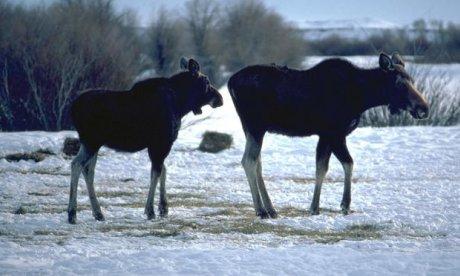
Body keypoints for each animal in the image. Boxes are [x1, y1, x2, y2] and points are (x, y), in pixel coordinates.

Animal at [68, 57, 223, 223]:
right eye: (206, 81)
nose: (220, 99)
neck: (181, 105)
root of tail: (73, 108)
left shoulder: (158, 145)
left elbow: (163, 170)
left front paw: (163, 208)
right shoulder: (161, 143)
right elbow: (156, 173)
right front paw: (151, 210)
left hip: (91, 143)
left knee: (88, 170)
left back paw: (98, 213)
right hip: (92, 141)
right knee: (76, 165)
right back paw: (72, 213)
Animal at [228, 52, 430, 219]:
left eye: (412, 80)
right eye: (399, 83)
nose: (424, 108)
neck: (362, 97)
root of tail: (230, 82)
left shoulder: (331, 135)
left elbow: (330, 167)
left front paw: (325, 206)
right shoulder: (333, 133)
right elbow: (339, 165)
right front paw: (337, 205)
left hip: (252, 128)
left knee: (257, 162)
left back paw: (270, 208)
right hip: (255, 126)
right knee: (248, 161)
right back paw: (261, 210)